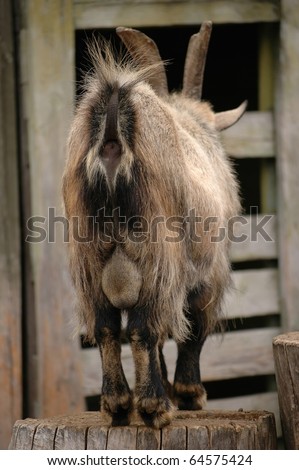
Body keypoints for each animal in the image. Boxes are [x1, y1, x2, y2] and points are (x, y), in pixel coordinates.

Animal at [62, 22, 246, 428]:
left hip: (88, 260)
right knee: (143, 328)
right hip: (157, 255)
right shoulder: (208, 276)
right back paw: (154, 407)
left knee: (107, 327)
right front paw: (190, 395)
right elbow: (193, 330)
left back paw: (117, 406)